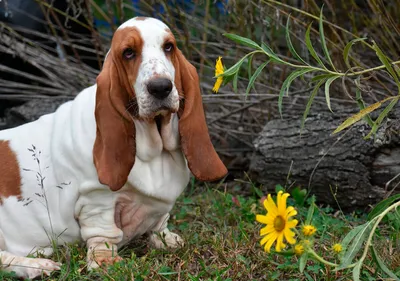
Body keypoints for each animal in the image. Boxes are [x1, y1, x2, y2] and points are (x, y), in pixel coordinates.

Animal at [0, 17, 227, 278]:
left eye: (169, 47)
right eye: (128, 53)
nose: (161, 87)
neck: (153, 147)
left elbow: (160, 222)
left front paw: (165, 239)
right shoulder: (96, 201)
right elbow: (104, 233)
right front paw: (105, 262)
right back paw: (38, 265)